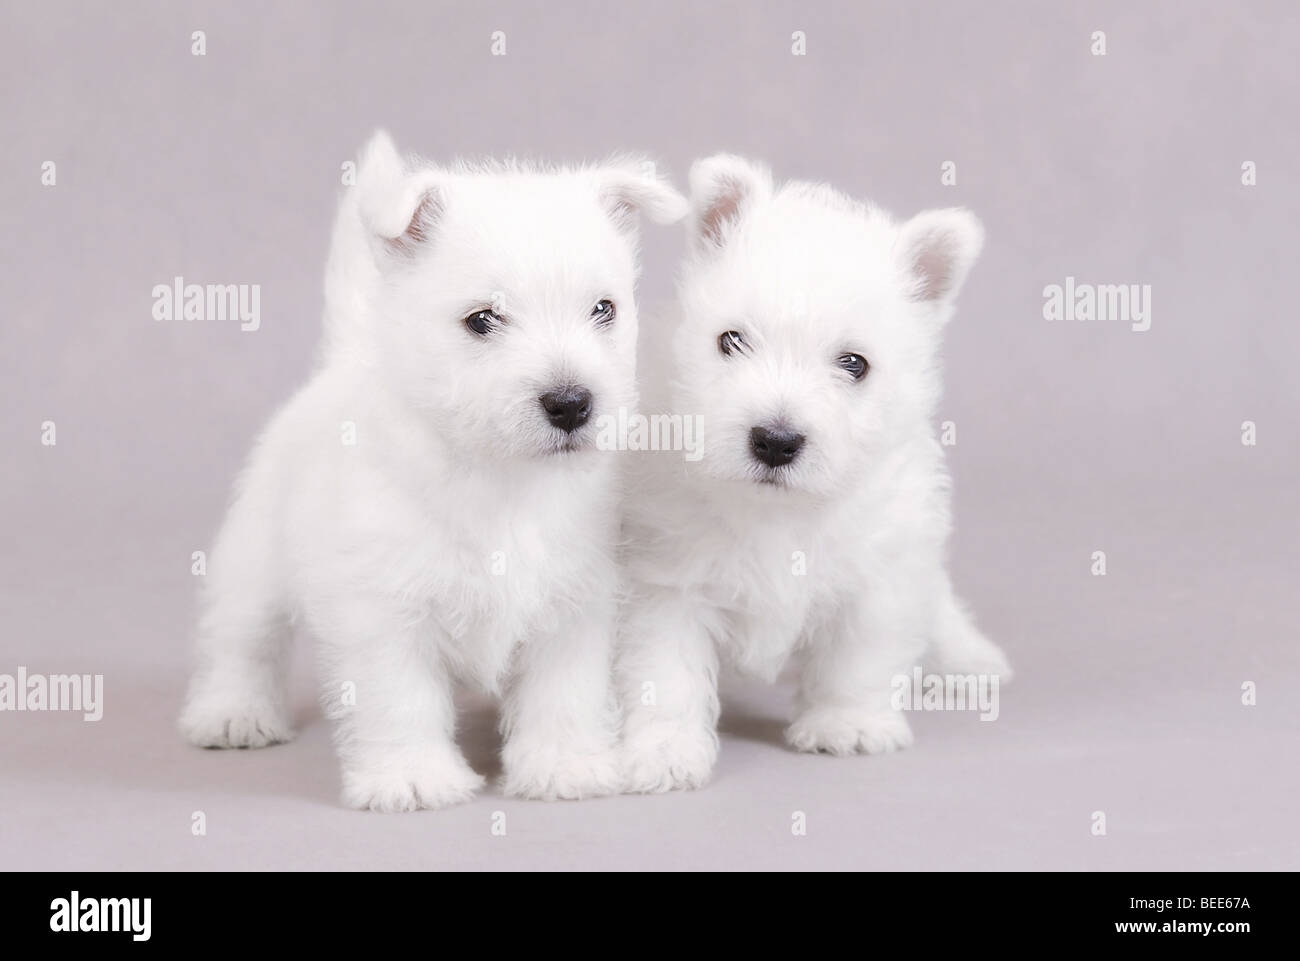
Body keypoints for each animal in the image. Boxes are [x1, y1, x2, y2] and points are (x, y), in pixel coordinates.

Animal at [183, 131, 691, 811]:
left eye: (604, 309)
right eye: (481, 319)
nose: (572, 403)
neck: (500, 477)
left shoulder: (576, 602)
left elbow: (564, 693)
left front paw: (565, 766)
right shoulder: (383, 611)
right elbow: (400, 700)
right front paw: (413, 776)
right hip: (255, 558)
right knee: (242, 638)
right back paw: (232, 713)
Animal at [618, 156, 1013, 790]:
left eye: (854, 364)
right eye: (731, 340)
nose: (775, 441)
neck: (778, 510)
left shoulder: (879, 576)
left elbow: (858, 659)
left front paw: (847, 725)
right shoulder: (664, 584)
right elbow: (665, 674)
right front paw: (665, 751)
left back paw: (969, 658)